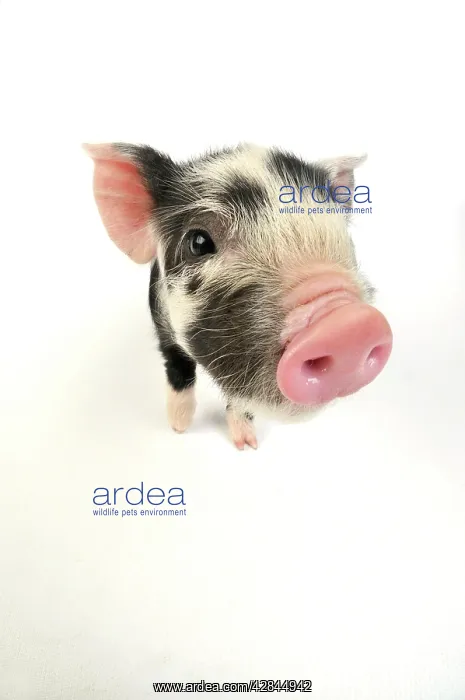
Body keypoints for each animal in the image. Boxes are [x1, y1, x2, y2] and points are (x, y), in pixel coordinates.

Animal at [84, 142, 393, 449]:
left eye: (345, 236)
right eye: (198, 242)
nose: (349, 323)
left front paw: (247, 445)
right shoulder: (160, 316)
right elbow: (178, 366)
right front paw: (179, 427)